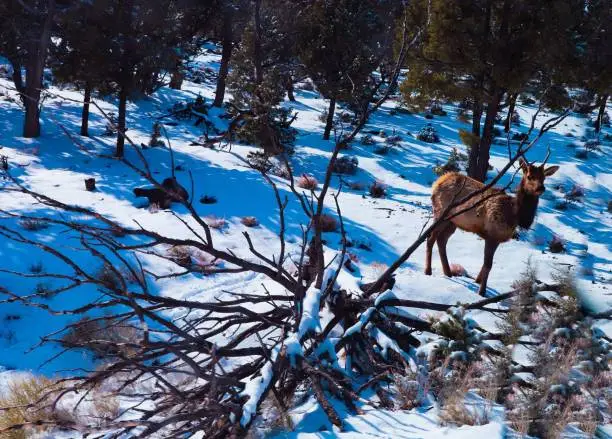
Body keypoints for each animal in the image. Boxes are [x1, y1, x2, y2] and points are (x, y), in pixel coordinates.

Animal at [426, 154, 560, 296]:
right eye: (529, 176)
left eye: (544, 178)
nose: (541, 188)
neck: (515, 215)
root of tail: (437, 182)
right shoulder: (492, 235)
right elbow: (488, 264)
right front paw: (481, 291)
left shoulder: (497, 238)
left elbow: (487, 264)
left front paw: (478, 281)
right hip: (440, 214)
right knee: (430, 238)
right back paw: (428, 271)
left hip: (453, 222)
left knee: (441, 240)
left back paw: (448, 272)